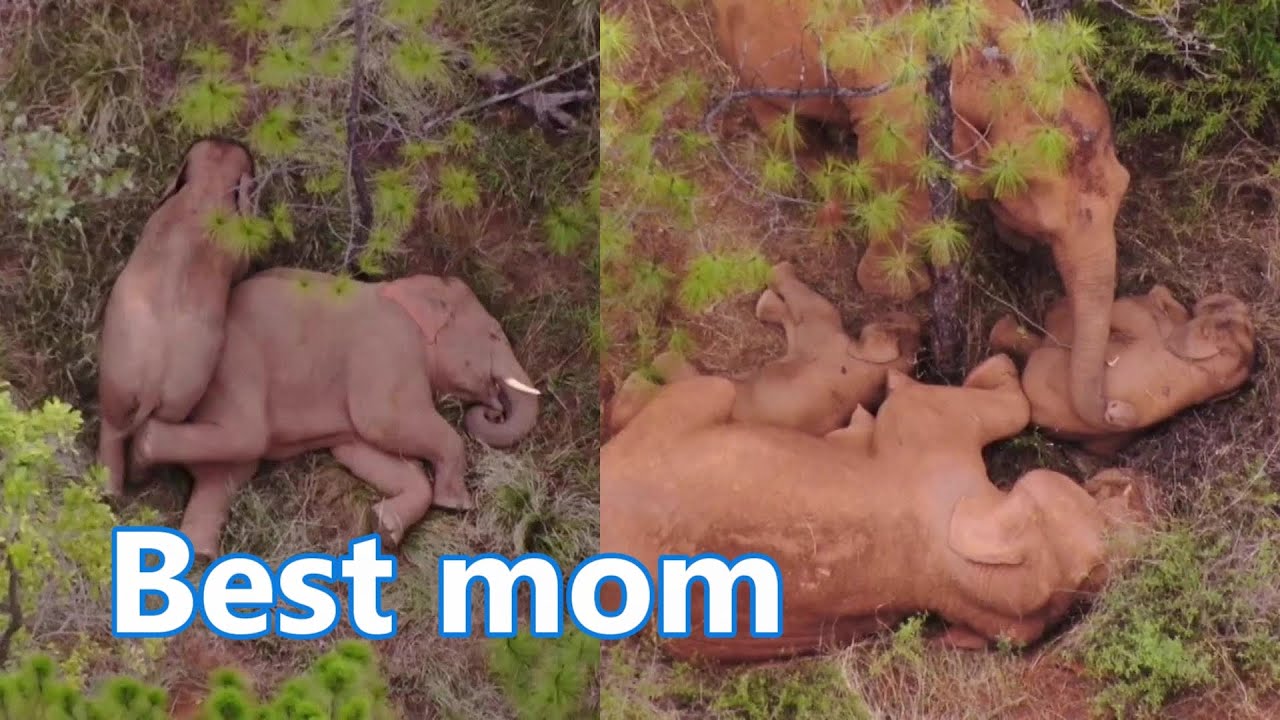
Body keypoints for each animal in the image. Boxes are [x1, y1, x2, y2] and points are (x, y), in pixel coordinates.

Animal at [128, 268, 541, 559]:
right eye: (493, 335)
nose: (491, 410)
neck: (408, 291)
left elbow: (361, 451)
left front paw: (383, 527)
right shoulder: (387, 349)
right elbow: (383, 421)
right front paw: (456, 504)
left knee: (227, 474)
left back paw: (199, 555)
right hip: (233, 367)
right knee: (247, 438)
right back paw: (143, 445)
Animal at [708, 0, 1133, 430]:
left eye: (1125, 186)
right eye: (1050, 227)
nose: (1116, 407)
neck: (993, 71)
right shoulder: (902, 120)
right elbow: (899, 188)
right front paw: (906, 286)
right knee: (782, 121)